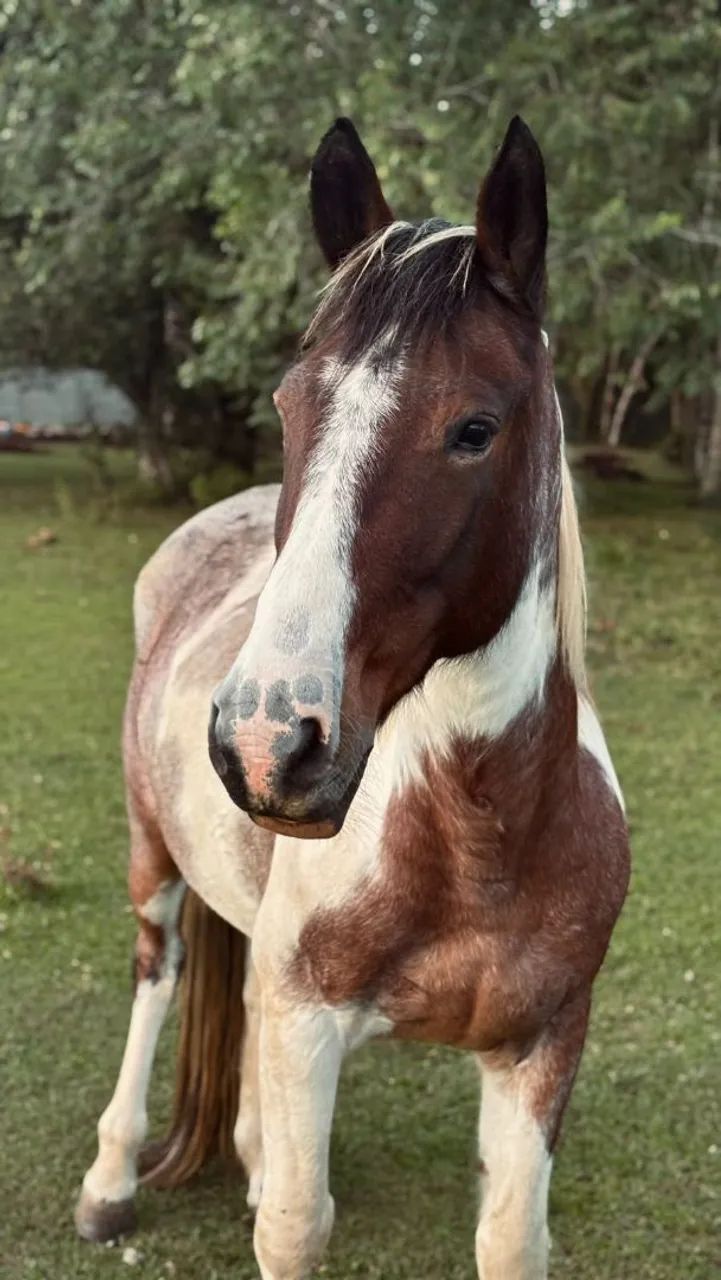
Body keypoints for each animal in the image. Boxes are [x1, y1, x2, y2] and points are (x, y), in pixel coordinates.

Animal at [75, 116, 630, 1279]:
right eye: (290, 410)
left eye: (474, 429)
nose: (264, 738)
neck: (477, 836)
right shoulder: (308, 1022)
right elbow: (296, 1220)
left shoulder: (542, 1044)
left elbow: (510, 1235)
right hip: (153, 858)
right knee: (157, 973)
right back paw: (108, 1181)